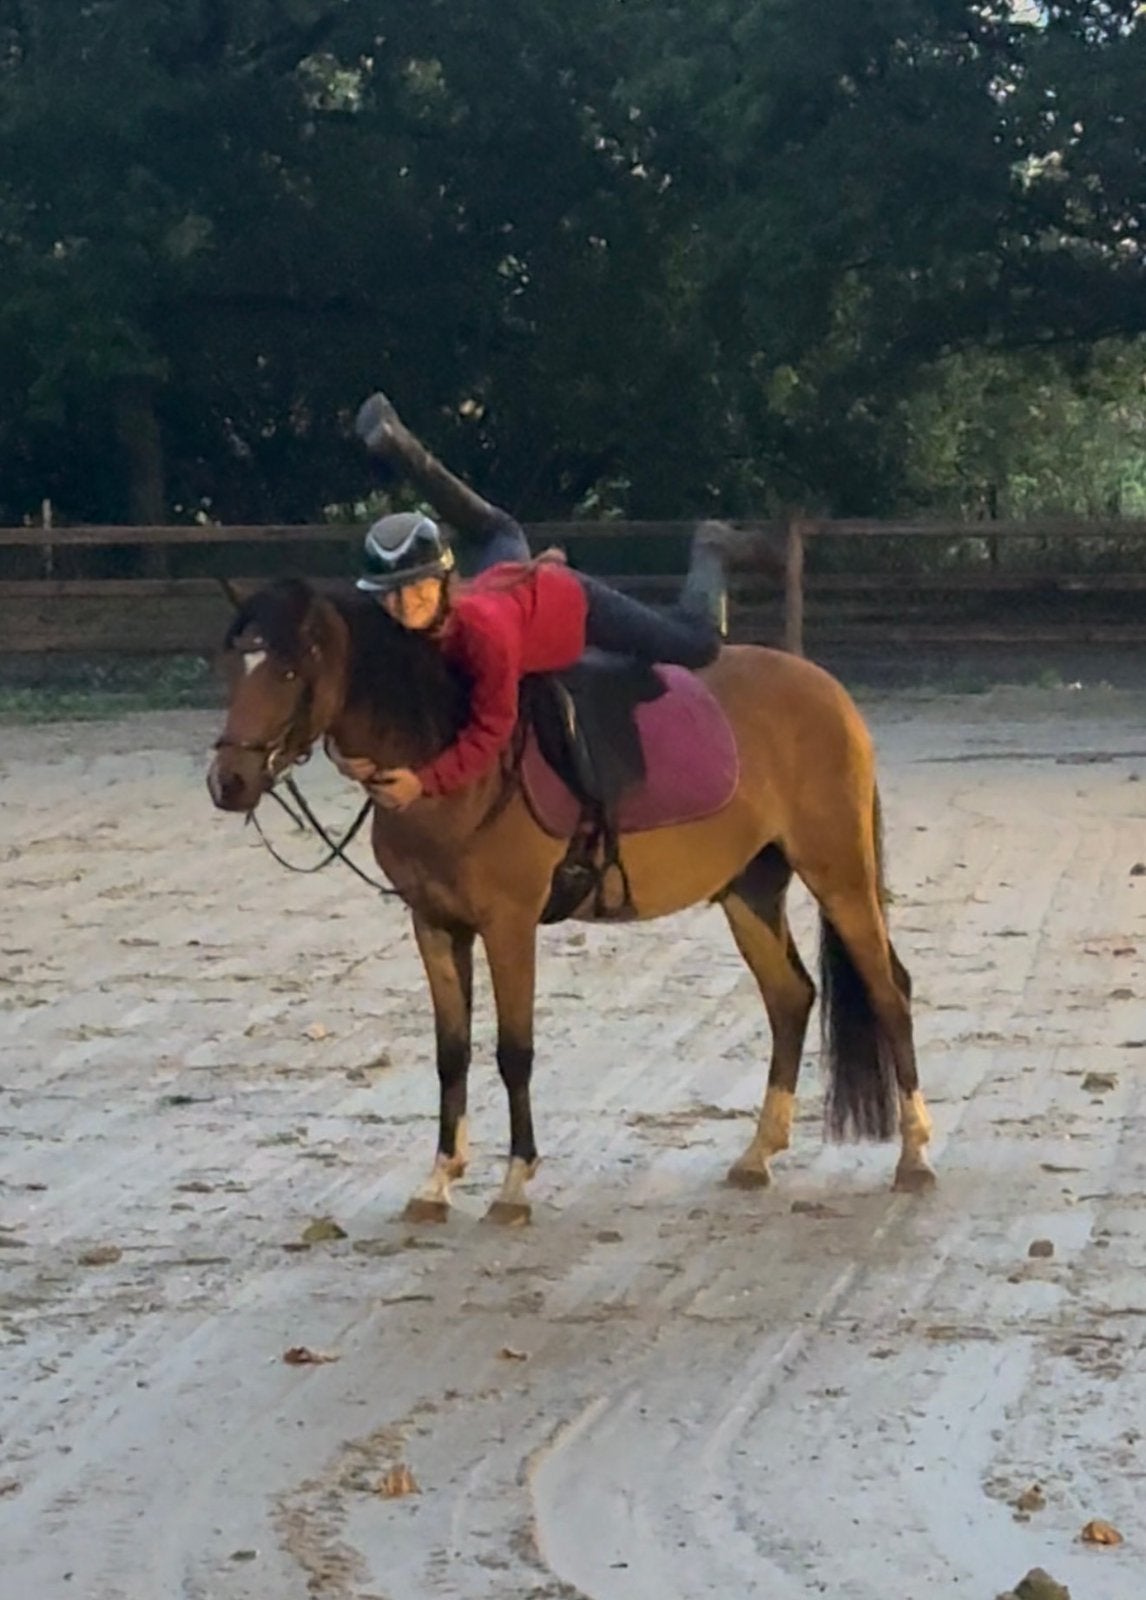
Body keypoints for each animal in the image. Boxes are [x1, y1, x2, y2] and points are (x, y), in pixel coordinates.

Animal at [207, 577, 934, 1223]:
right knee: (790, 999)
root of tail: (828, 691)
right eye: (235, 668)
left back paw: (915, 1155)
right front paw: (439, 1181)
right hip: (748, 890)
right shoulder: (435, 925)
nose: (229, 781)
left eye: (289, 672)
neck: (446, 753)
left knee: (888, 992)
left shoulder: (509, 924)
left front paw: (513, 1184)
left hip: (839, 875)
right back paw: (758, 1155)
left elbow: (514, 1050)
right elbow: (451, 1052)